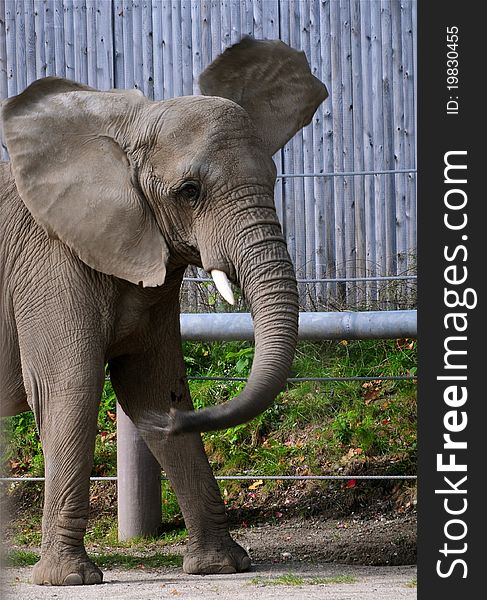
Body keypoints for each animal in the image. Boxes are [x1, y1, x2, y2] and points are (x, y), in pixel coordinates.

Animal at [0, 35, 328, 584]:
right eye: (189, 192)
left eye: (273, 179)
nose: (168, 422)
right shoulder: (49, 256)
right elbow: (70, 384)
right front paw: (70, 580)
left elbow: (151, 382)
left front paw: (220, 567)